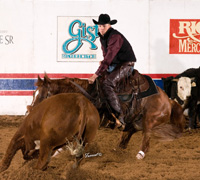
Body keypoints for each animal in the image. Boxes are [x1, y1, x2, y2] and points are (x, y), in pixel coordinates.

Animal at [27, 70, 186, 160]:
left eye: (42, 95)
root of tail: (168, 99)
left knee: (146, 137)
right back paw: (118, 149)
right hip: (135, 122)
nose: (31, 111)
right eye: (34, 93)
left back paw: (140, 154)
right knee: (127, 134)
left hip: (150, 120)